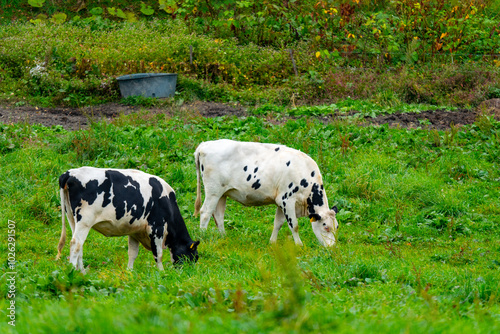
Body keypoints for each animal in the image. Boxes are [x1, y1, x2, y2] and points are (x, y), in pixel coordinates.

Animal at [56, 167, 199, 272]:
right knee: (75, 244)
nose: (189, 273)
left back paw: (82, 271)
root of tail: (69, 173)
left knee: (79, 245)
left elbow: (132, 253)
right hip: (85, 220)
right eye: (194, 256)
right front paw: (161, 273)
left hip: (72, 218)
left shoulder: (135, 231)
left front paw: (130, 271)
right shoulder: (156, 227)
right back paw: (73, 270)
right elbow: (158, 254)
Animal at [193, 138, 338, 245]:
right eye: (325, 226)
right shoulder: (287, 200)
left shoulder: (280, 202)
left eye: (336, 227)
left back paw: (224, 237)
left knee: (218, 215)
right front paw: (299, 245)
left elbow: (278, 223)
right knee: (205, 212)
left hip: (222, 193)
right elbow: (294, 225)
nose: (332, 248)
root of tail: (204, 144)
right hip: (213, 191)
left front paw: (272, 243)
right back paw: (203, 236)